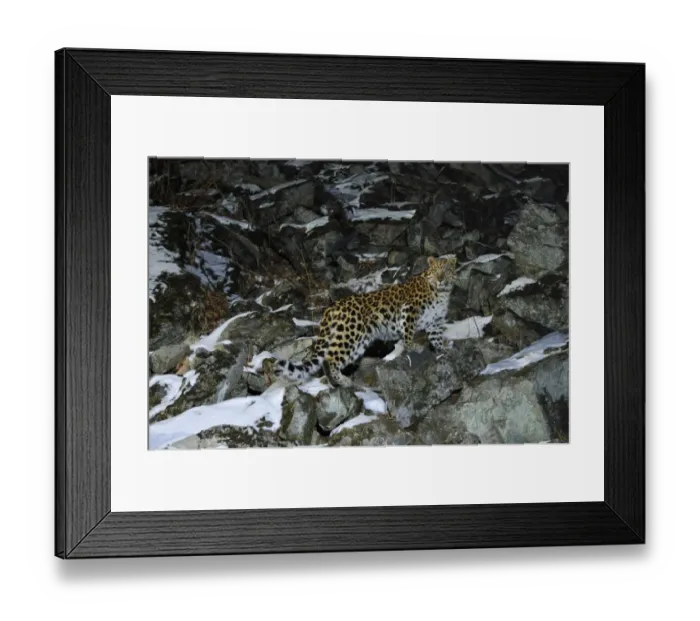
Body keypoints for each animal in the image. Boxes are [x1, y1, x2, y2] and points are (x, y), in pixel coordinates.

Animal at [273, 255, 458, 388]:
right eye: (436, 270)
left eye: (447, 270)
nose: (441, 278)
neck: (442, 292)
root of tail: (331, 308)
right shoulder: (409, 309)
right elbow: (408, 332)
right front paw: (413, 346)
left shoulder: (435, 322)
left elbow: (436, 338)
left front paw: (443, 350)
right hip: (350, 335)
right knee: (330, 359)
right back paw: (344, 381)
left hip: (357, 342)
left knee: (329, 358)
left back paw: (337, 382)